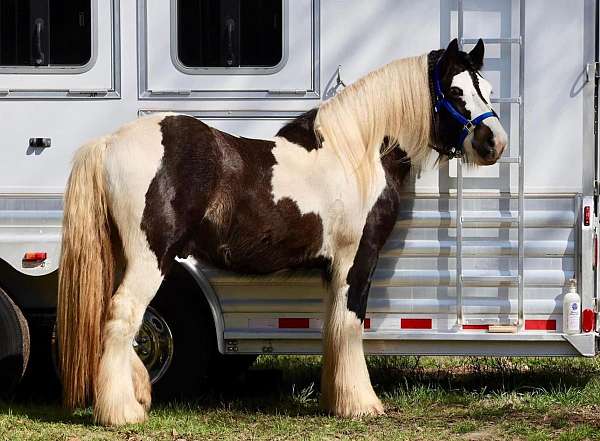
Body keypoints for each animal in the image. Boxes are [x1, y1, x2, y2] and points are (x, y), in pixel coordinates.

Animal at [57, 39, 506, 424]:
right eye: (456, 92)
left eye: (487, 89)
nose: (494, 143)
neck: (357, 153)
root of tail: (109, 142)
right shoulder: (356, 260)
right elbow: (349, 324)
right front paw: (360, 404)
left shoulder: (333, 269)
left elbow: (332, 327)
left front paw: (336, 400)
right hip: (152, 258)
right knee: (124, 316)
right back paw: (121, 412)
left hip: (123, 258)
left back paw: (135, 395)